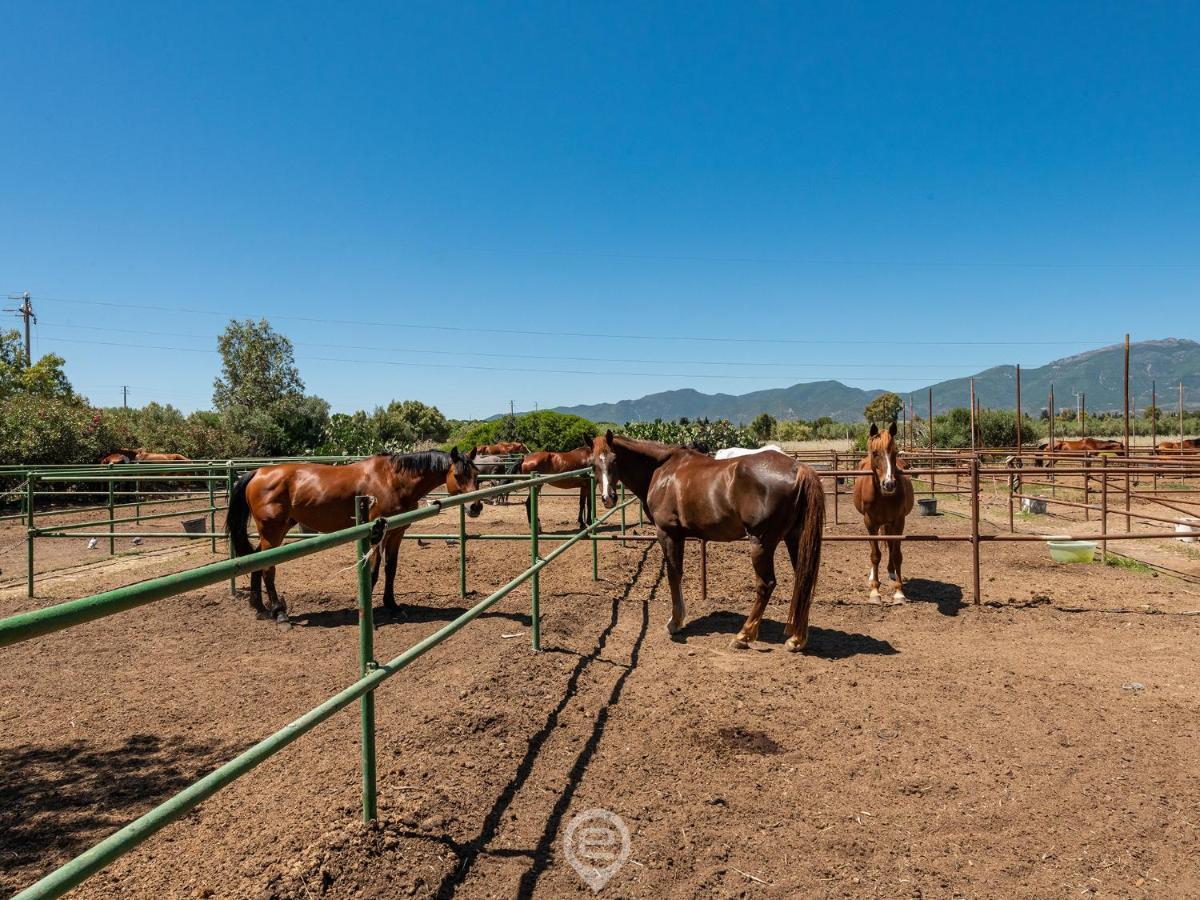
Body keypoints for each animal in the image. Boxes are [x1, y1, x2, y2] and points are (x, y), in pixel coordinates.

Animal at [226, 448, 480, 624]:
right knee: (268, 568)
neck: (392, 479)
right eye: (458, 475)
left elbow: (390, 569)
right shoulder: (376, 534)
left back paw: (260, 608)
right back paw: (280, 614)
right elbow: (374, 572)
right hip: (272, 532)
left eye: (477, 474)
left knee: (256, 561)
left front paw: (393, 606)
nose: (475, 507)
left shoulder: (396, 532)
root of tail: (258, 472)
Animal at [590, 434, 825, 652]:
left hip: (761, 543)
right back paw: (797, 639)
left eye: (614, 460)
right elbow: (678, 573)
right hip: (794, 538)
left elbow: (673, 575)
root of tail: (798, 468)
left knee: (766, 585)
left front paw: (675, 622)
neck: (661, 470)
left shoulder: (667, 534)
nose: (608, 498)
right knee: (803, 579)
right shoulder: (679, 536)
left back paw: (743, 636)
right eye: (593, 463)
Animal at [854, 422, 916, 607]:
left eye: (894, 452)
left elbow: (896, 554)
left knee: (889, 543)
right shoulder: (870, 522)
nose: (889, 484)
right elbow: (875, 555)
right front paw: (875, 591)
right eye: (875, 453)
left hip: (889, 523)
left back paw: (890, 571)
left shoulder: (898, 521)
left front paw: (899, 593)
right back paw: (873, 576)